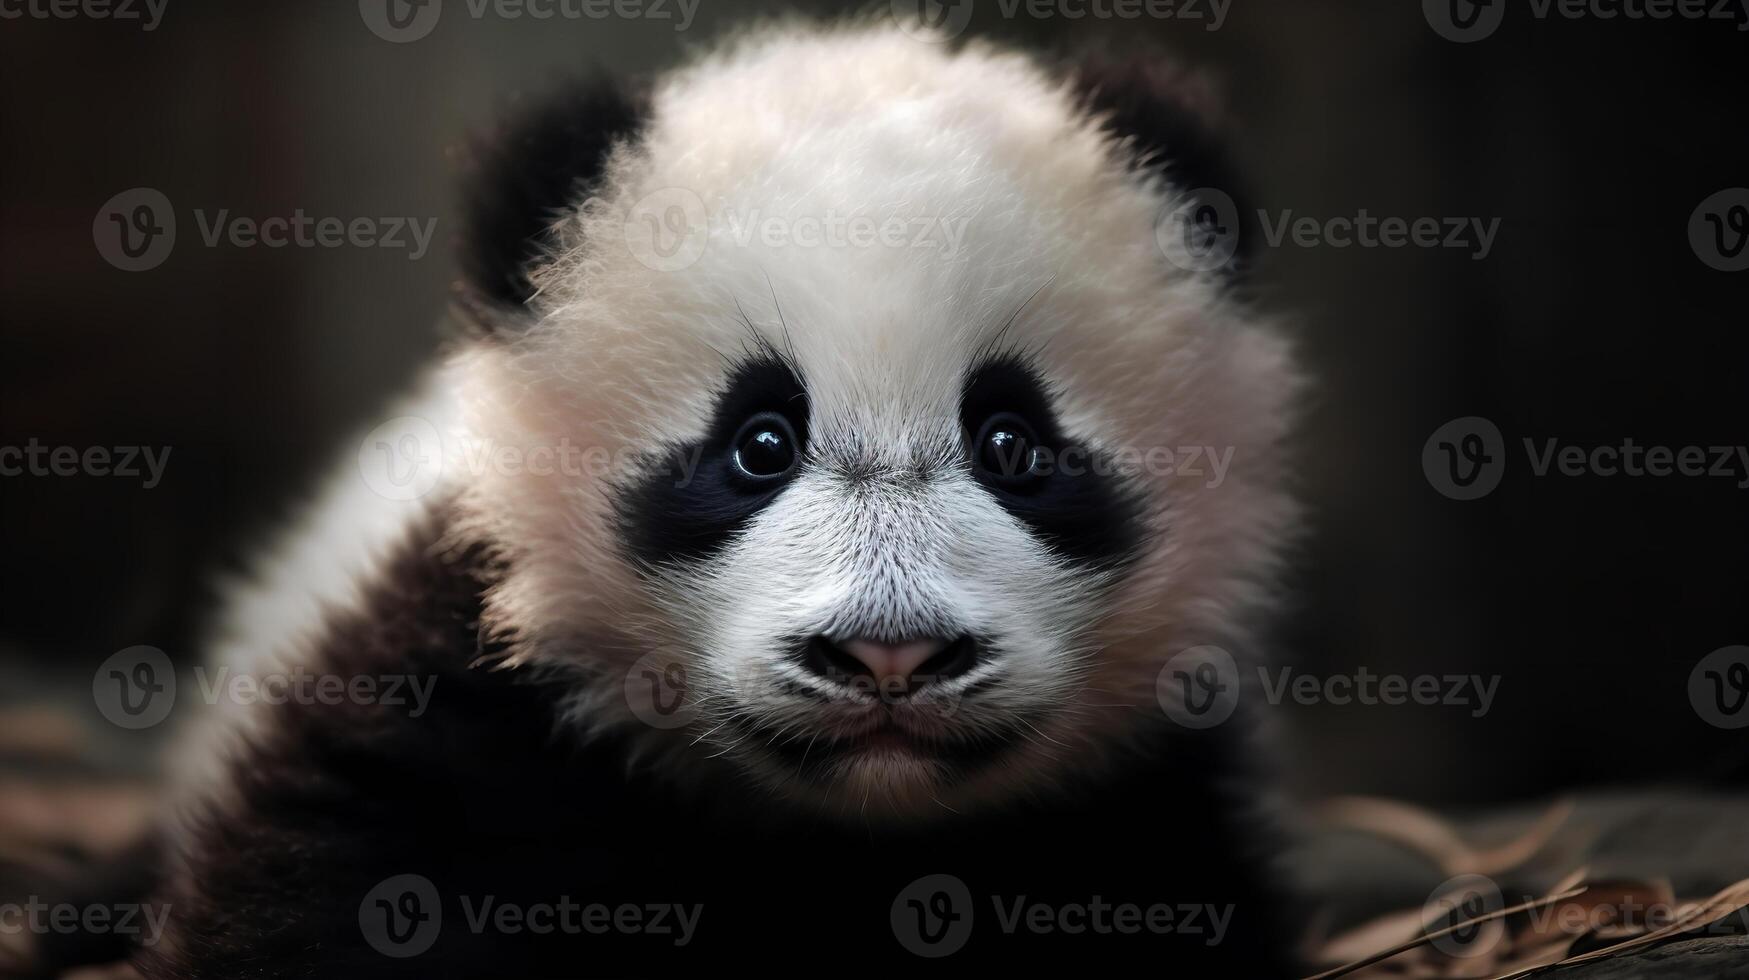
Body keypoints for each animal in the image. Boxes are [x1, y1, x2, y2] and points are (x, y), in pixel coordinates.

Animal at [126, 22, 1301, 980]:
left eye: (1012, 443)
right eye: (759, 445)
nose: (890, 656)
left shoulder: (1140, 792)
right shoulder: (478, 696)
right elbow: (329, 881)